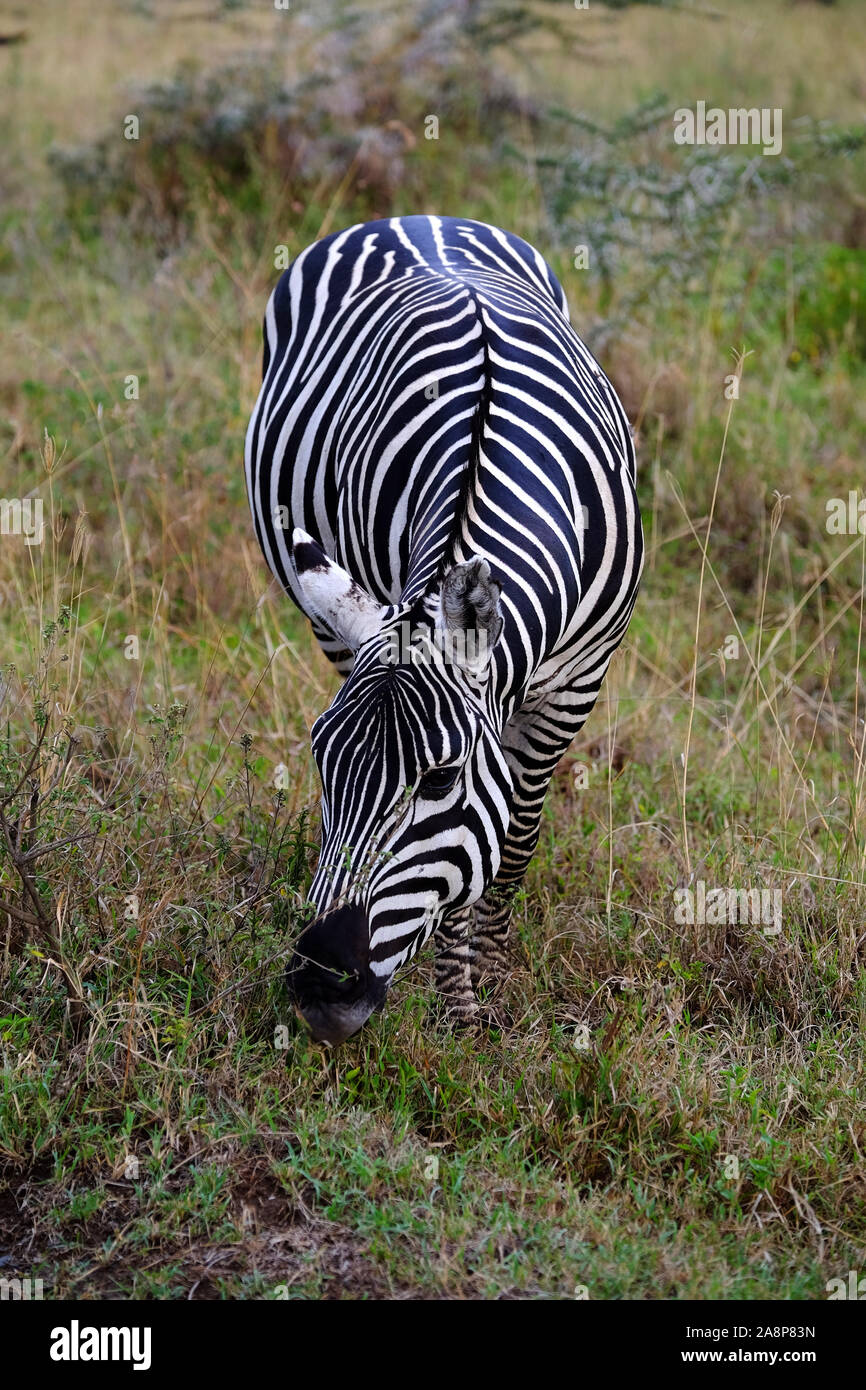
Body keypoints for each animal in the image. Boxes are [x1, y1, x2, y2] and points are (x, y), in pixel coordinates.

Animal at [244, 214, 644, 1045]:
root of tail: (412, 217)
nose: (320, 990)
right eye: (320, 760)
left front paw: (484, 985)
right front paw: (458, 1006)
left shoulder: (578, 682)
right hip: (337, 615)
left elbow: (512, 840)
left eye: (438, 779)